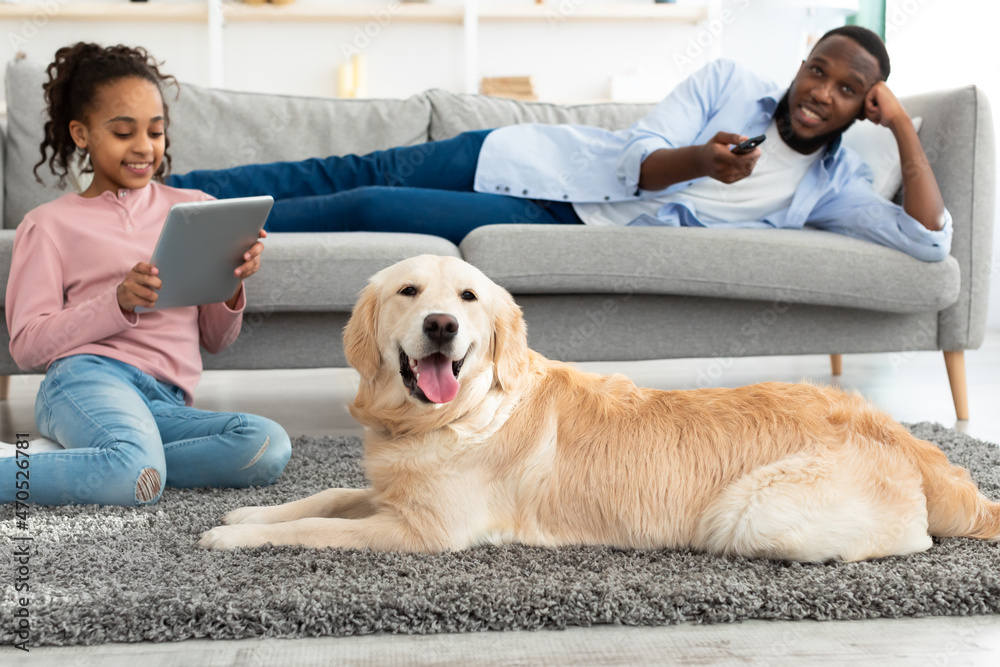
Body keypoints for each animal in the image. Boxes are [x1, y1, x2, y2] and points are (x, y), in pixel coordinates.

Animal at [199, 256, 996, 564]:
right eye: (408, 292)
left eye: (468, 298)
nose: (441, 327)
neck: (450, 416)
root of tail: (893, 429)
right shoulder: (393, 493)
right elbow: (329, 493)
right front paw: (250, 510)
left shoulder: (423, 531)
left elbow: (316, 527)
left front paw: (234, 535)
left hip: (752, 511)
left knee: (913, 540)